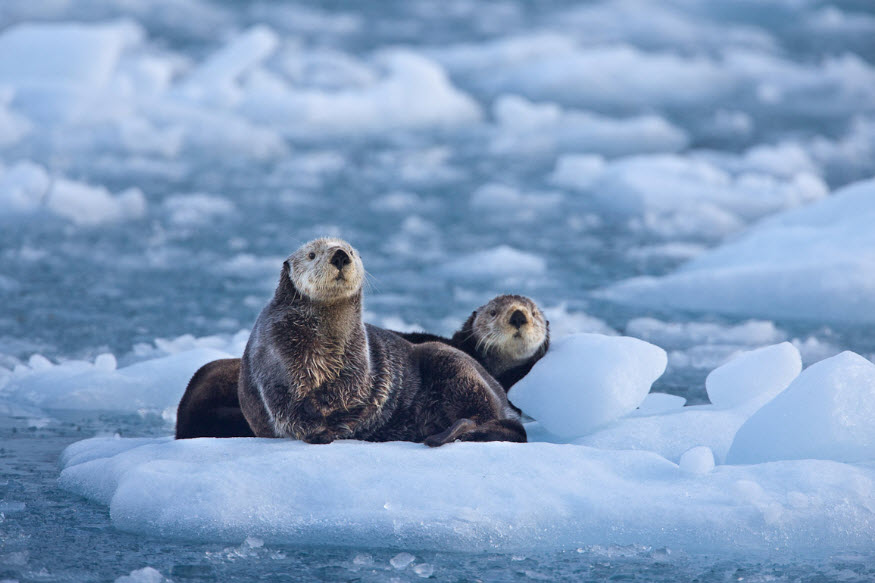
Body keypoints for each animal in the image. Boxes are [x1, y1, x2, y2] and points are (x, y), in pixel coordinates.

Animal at [235, 237, 524, 446]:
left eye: (351, 251)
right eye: (311, 255)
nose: (340, 254)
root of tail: (505, 403)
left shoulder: (359, 360)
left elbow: (356, 397)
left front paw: (333, 429)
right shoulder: (277, 354)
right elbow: (288, 405)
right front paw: (319, 432)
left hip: (451, 363)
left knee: (489, 420)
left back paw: (444, 435)